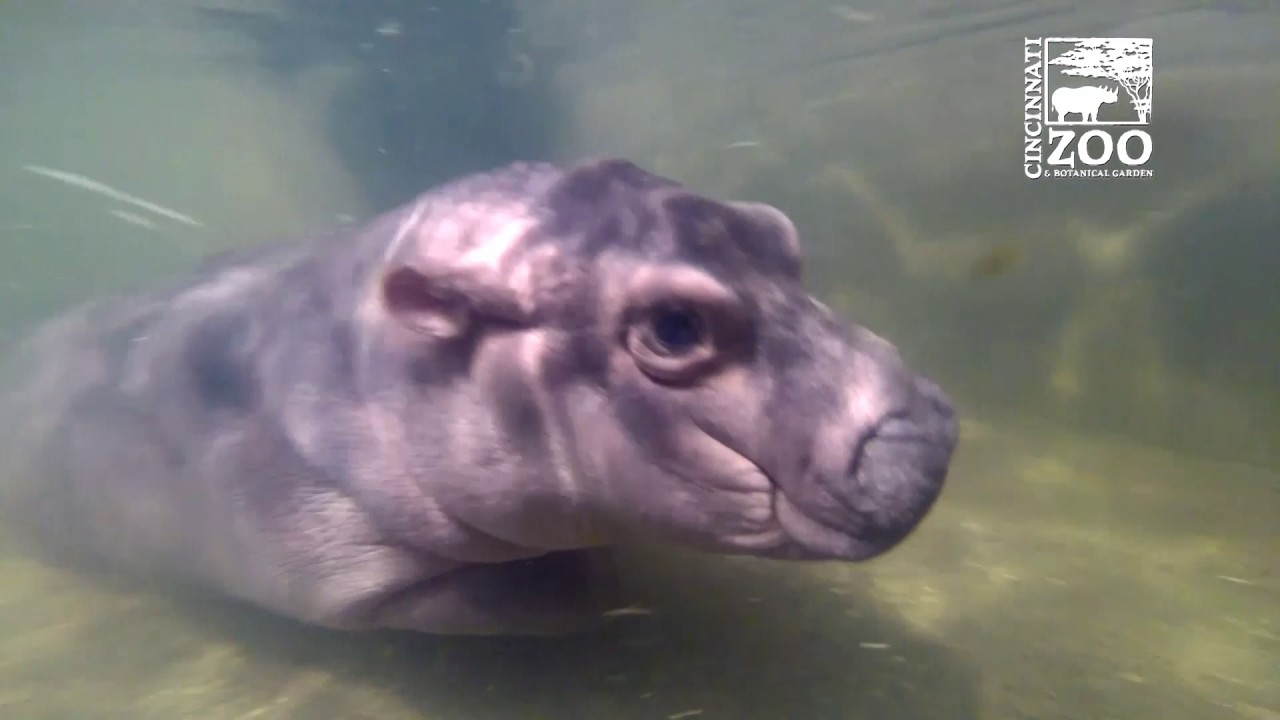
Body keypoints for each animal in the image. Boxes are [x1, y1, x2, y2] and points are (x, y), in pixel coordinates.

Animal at [0, 158, 958, 636]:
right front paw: (604, 587)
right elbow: (545, 603)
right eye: (676, 327)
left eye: (777, 232)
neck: (367, 353)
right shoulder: (345, 577)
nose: (928, 436)